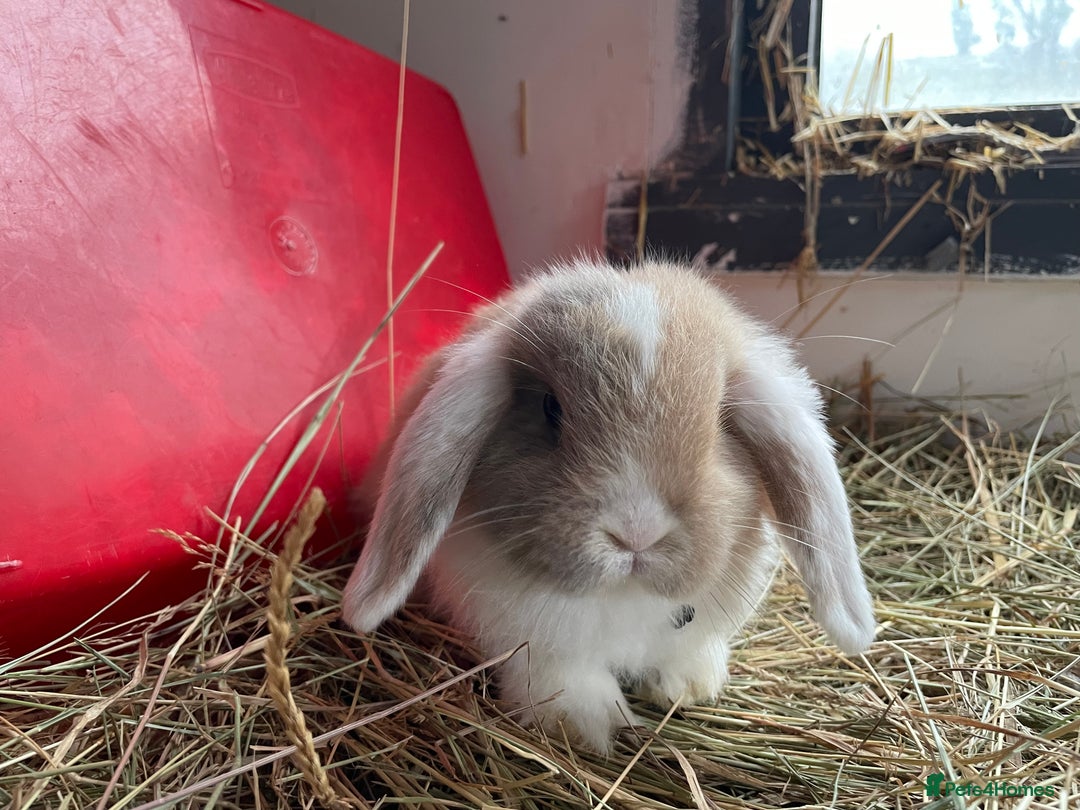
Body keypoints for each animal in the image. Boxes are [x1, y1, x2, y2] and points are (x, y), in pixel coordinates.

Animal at [341, 258, 875, 753]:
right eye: (550, 408)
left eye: (721, 420)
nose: (637, 532)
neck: (624, 596)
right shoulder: (530, 639)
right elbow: (564, 676)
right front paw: (586, 725)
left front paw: (689, 687)